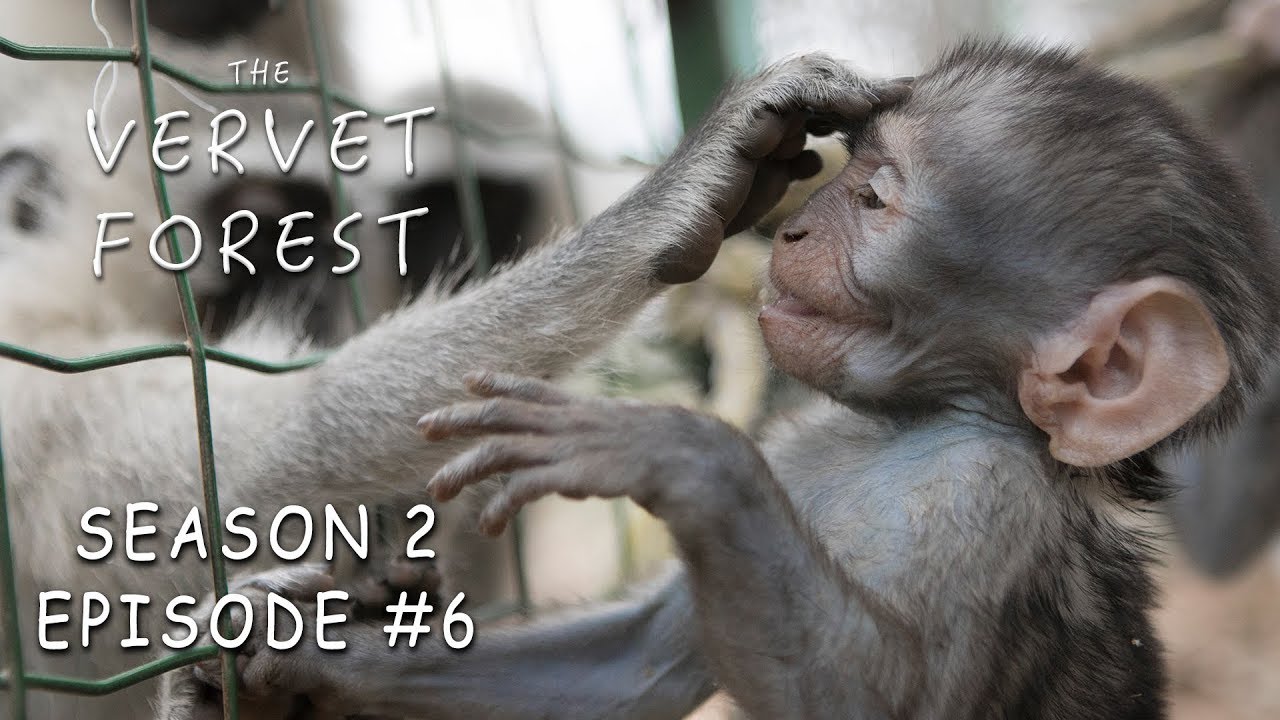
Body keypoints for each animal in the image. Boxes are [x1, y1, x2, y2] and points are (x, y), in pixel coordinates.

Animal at [156, 39, 1280, 720]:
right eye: (843, 172)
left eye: (874, 200)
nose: (791, 229)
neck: (914, 424)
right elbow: (628, 672)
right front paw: (305, 645)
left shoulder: (987, 499)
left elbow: (870, 700)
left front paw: (674, 452)